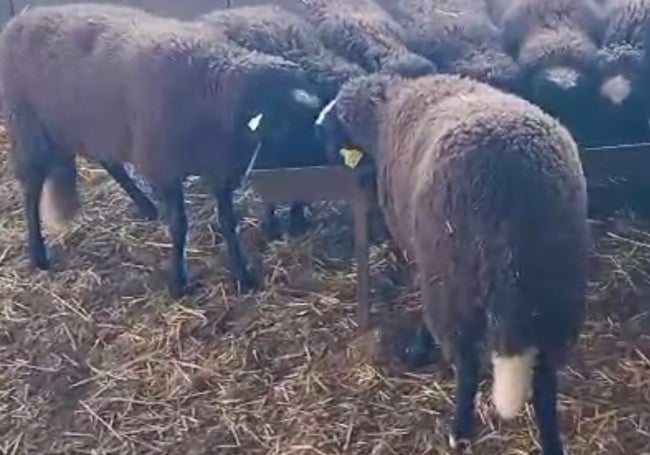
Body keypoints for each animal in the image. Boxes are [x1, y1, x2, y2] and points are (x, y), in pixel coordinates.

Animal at [0, 3, 322, 300]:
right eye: (282, 128)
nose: (311, 183)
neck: (211, 85)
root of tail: (22, 18)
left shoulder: (218, 168)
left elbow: (229, 224)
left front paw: (242, 275)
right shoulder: (165, 167)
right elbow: (179, 227)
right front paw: (178, 282)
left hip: (96, 125)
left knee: (110, 160)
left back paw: (146, 206)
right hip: (29, 125)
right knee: (31, 190)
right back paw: (38, 255)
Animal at [314, 73, 588, 454]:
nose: (316, 129)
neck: (386, 113)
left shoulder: (418, 251)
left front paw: (419, 347)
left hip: (451, 281)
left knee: (468, 363)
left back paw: (459, 429)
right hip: (559, 288)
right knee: (546, 382)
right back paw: (551, 443)